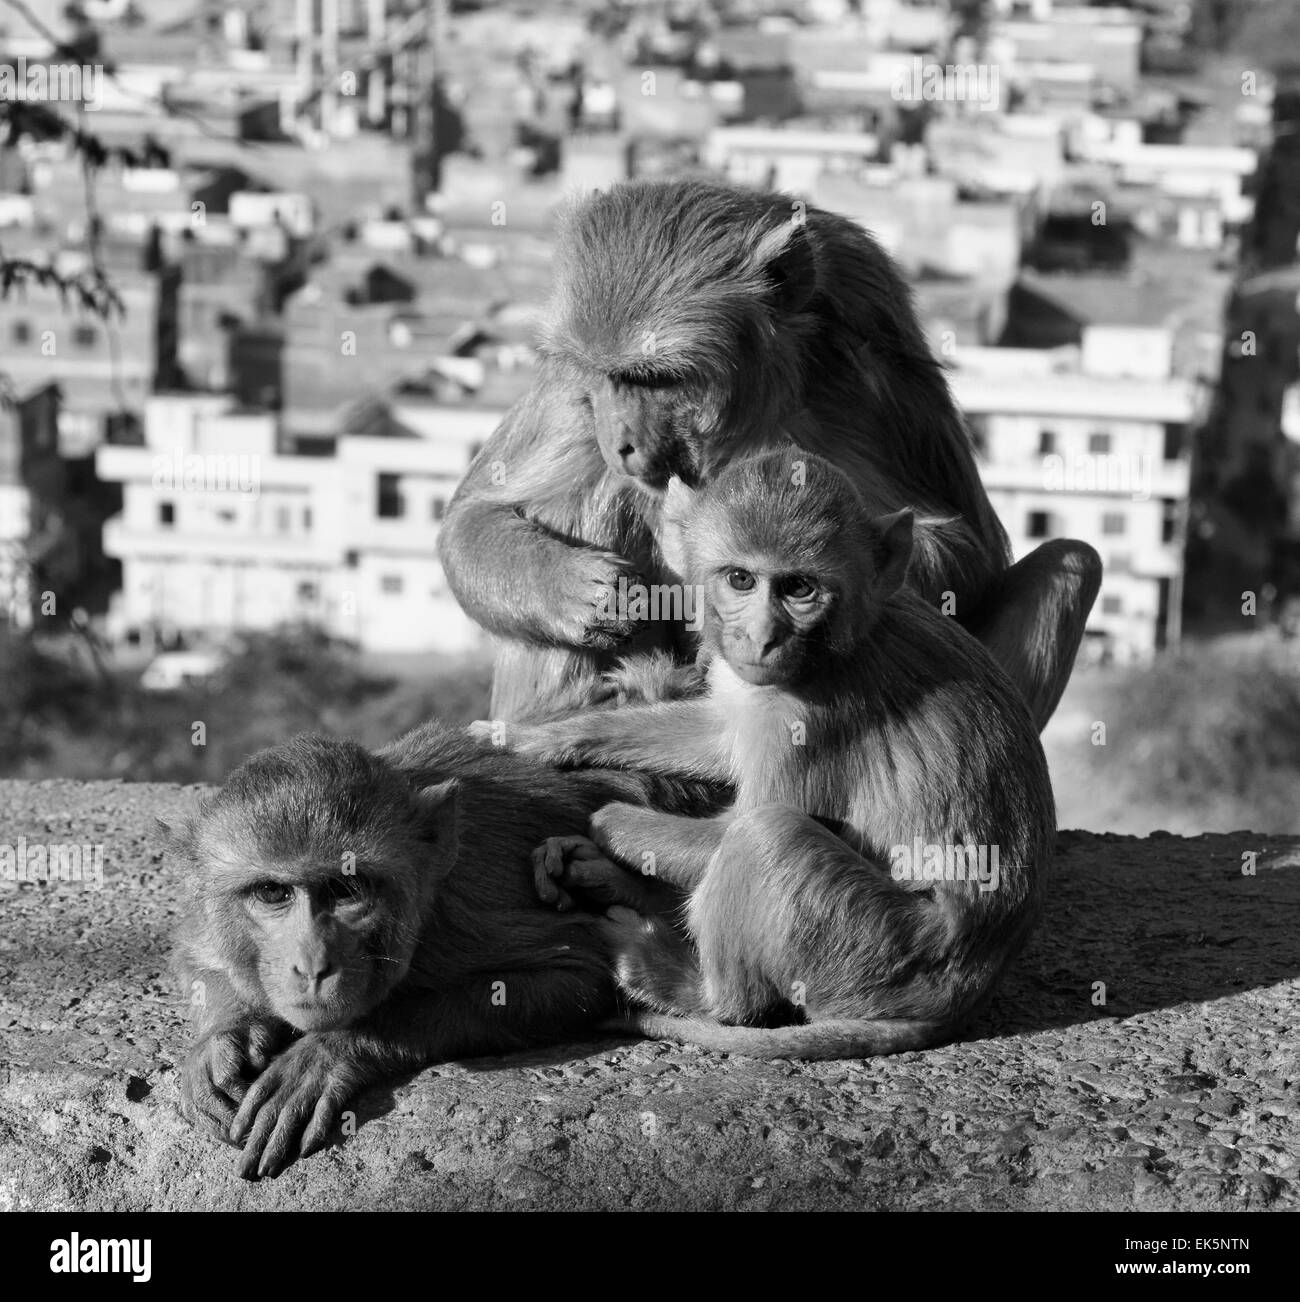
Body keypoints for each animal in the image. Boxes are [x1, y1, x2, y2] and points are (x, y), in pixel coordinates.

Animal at [169, 723, 719, 1182]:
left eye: (347, 889)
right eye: (272, 893)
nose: (312, 965)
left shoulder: (467, 908)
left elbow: (577, 975)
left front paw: (330, 1051)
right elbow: (198, 954)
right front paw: (225, 1040)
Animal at [489, 447, 1057, 1057]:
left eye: (799, 588)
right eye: (741, 579)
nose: (762, 638)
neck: (832, 648)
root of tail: (966, 990)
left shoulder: (809, 717)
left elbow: (731, 826)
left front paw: (604, 820)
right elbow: (719, 738)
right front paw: (540, 738)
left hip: (879, 950)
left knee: (767, 835)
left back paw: (684, 982)